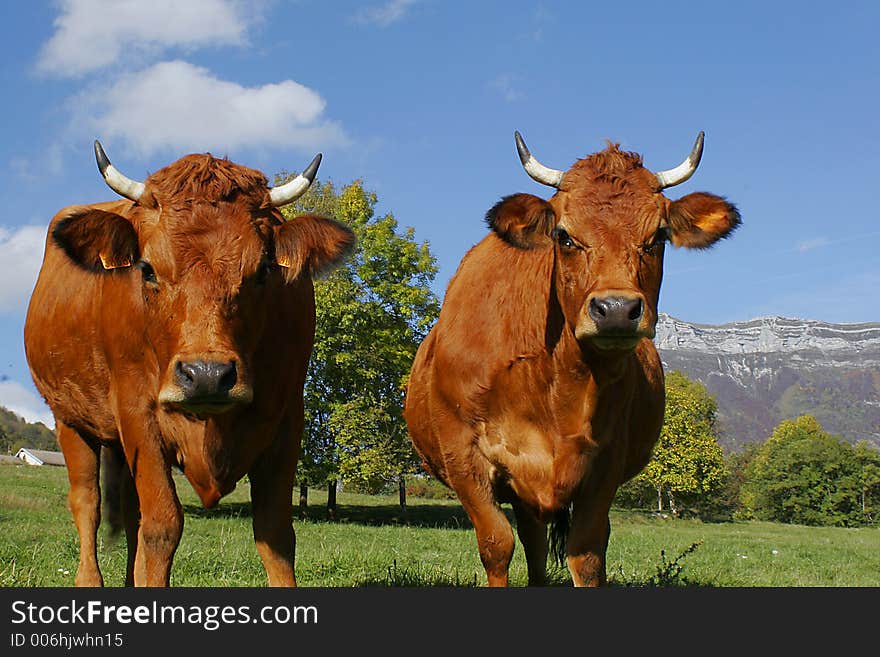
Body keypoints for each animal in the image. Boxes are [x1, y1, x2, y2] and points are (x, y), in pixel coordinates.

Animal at [24, 142, 354, 584]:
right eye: (147, 269)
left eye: (263, 270)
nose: (208, 376)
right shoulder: (137, 414)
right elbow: (163, 526)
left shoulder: (287, 418)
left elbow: (276, 534)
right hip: (70, 419)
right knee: (87, 503)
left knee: (130, 513)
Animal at [406, 131, 744, 588]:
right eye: (564, 236)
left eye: (658, 236)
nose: (616, 309)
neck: (556, 382)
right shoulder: (462, 453)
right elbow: (496, 544)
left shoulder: (606, 462)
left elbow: (586, 553)